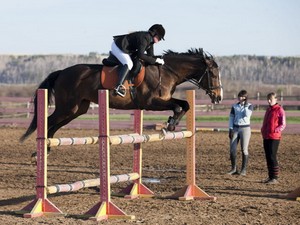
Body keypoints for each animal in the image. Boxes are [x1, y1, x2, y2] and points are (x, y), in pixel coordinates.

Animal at [20, 48, 223, 158]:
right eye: (213, 74)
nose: (218, 97)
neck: (167, 72)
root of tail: (62, 72)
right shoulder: (151, 102)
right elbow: (178, 106)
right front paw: (169, 125)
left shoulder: (163, 100)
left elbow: (184, 105)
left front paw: (172, 124)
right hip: (67, 107)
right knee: (48, 121)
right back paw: (40, 152)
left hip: (77, 109)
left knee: (54, 125)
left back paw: (47, 151)